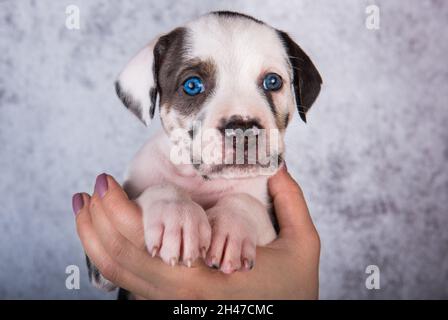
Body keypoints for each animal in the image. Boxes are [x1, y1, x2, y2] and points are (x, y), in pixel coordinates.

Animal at [87, 10, 320, 296]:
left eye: (272, 81)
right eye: (192, 85)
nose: (242, 129)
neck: (200, 180)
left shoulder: (272, 228)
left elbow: (247, 202)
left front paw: (231, 226)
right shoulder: (100, 272)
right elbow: (161, 188)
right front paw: (177, 216)